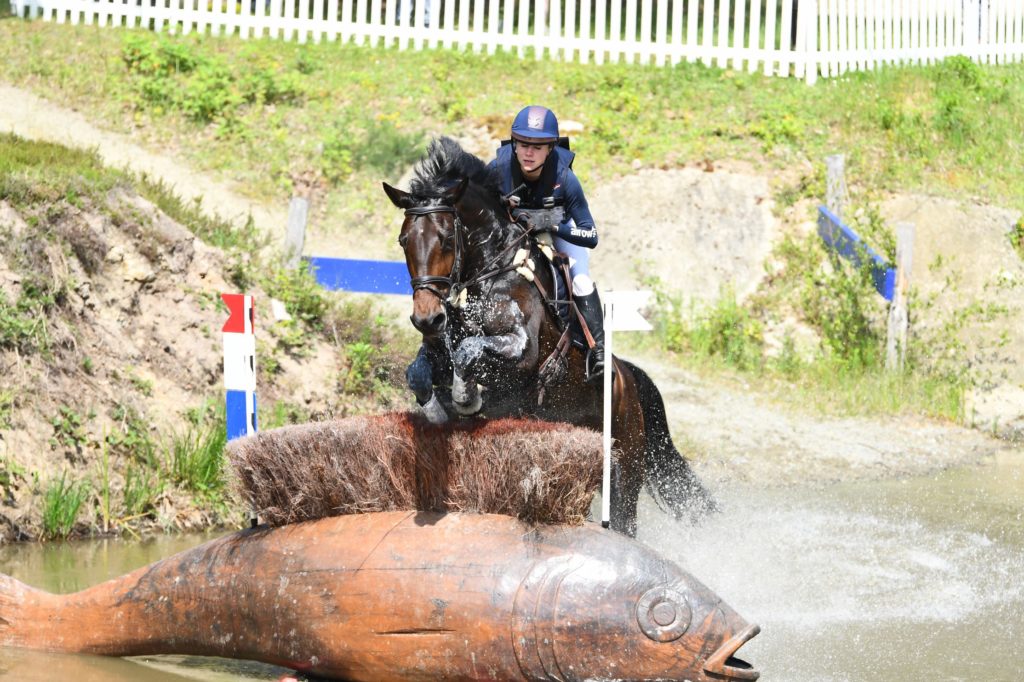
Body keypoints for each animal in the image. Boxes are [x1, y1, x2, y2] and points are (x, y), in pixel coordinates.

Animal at [380, 135, 716, 532]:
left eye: (447, 239)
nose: (427, 319)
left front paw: (465, 397)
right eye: (404, 240)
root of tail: (627, 377)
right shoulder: (438, 353)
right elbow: (419, 371)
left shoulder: (521, 353)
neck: (491, 274)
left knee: (624, 522)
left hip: (625, 467)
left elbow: (469, 352)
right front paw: (437, 410)